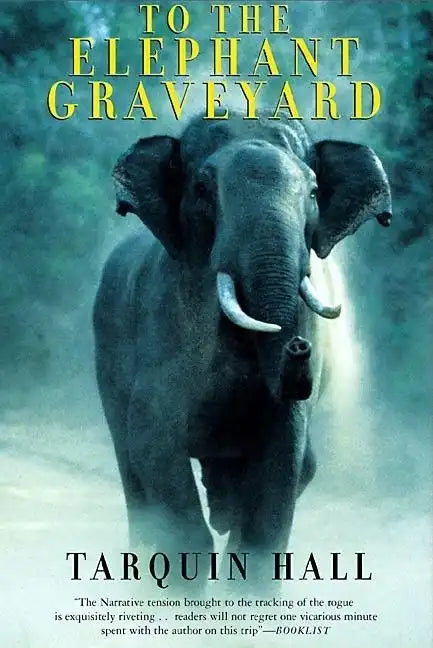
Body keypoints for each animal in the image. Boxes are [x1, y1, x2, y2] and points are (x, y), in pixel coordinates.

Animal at [93, 112, 392, 589]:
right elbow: (153, 438)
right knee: (131, 464)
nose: (299, 345)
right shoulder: (162, 324)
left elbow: (284, 455)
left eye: (313, 192)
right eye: (201, 188)